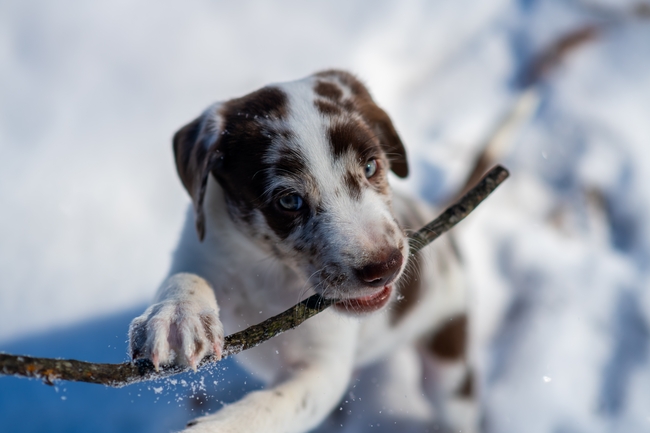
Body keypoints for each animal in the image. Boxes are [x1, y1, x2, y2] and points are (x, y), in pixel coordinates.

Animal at [128, 69, 470, 430]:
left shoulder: (322, 368)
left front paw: (219, 427)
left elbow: (269, 408)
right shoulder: (200, 248)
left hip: (448, 362)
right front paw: (175, 317)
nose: (385, 266)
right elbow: (186, 276)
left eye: (371, 167)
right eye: (289, 201)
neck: (269, 270)